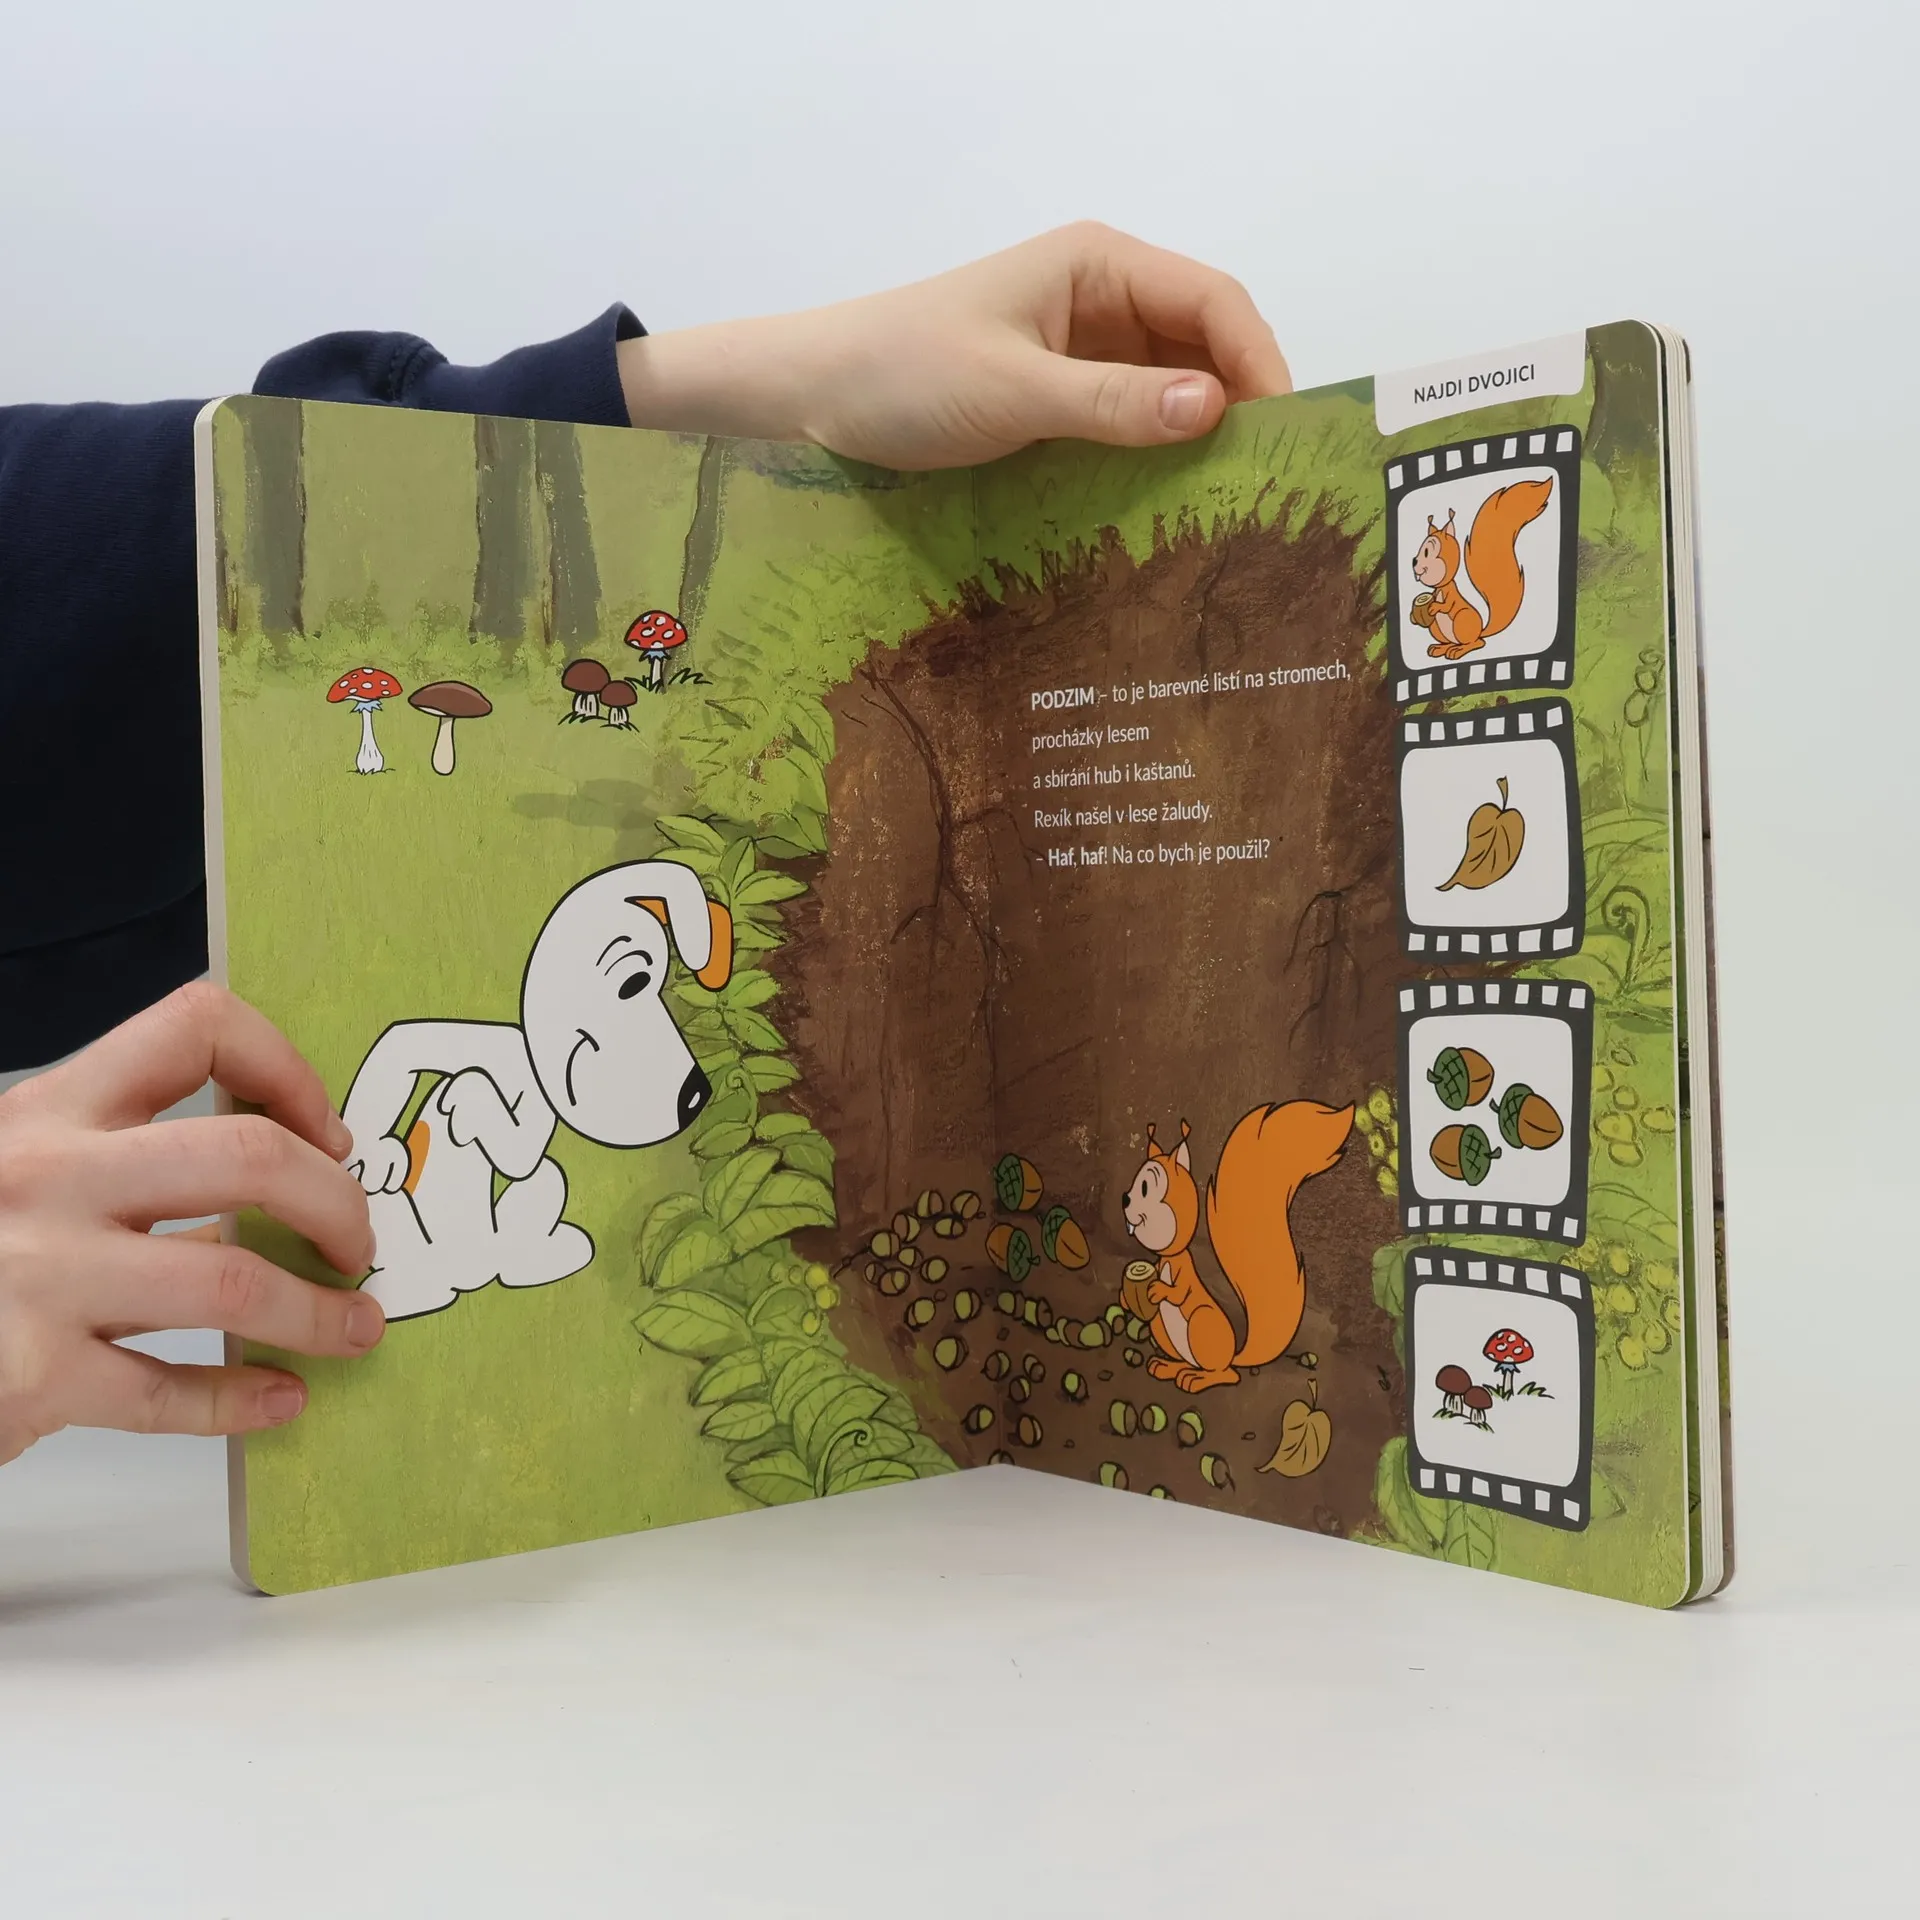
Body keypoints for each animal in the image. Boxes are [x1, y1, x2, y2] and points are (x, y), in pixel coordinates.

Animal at [340, 860, 733, 1321]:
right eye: (635, 981)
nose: (695, 1095)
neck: (527, 1065)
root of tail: (465, 1279)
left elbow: (521, 1156)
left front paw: (466, 1096)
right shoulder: (499, 1043)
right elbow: (403, 1043)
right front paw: (377, 1154)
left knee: (543, 1180)